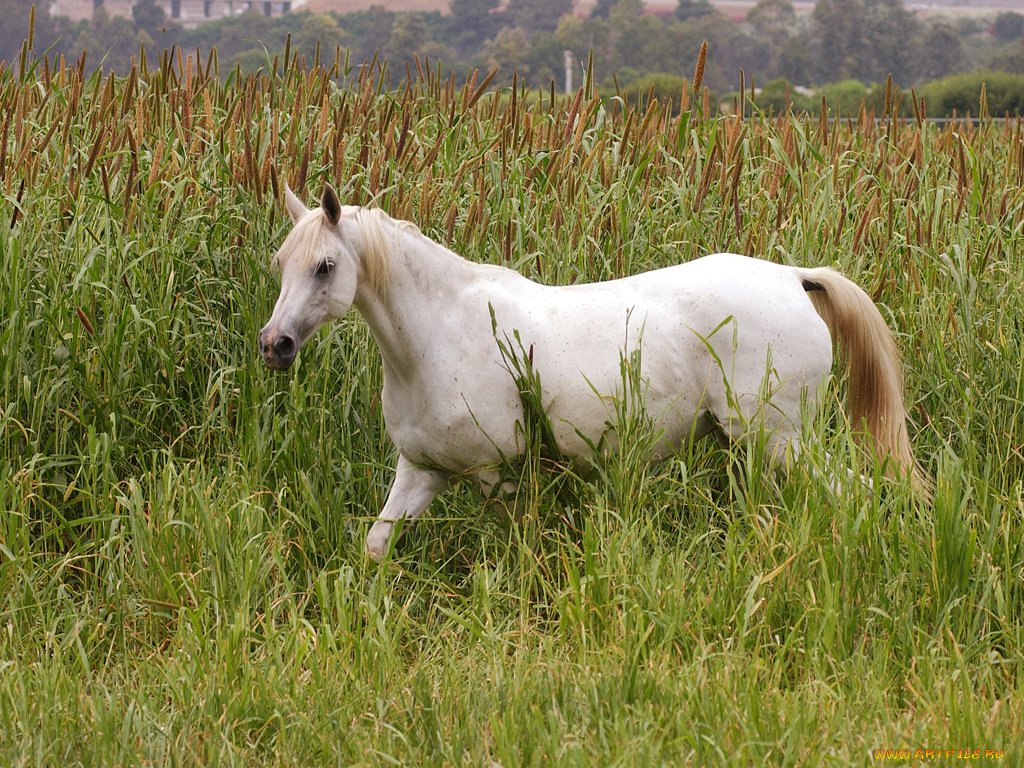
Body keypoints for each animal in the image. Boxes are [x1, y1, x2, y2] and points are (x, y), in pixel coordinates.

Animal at [258, 186, 929, 561]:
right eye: (280, 261)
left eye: (324, 266)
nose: (275, 345)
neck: (439, 334)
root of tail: (794, 277)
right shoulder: (421, 471)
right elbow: (376, 546)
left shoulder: (498, 479)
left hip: (782, 440)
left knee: (855, 493)